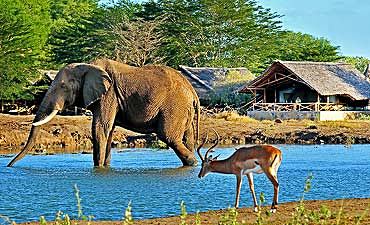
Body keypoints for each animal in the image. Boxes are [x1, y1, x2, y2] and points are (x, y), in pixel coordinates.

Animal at [6, 59, 199, 168]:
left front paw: (98, 169)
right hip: (184, 110)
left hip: (175, 107)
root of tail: (193, 92)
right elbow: (109, 130)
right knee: (187, 138)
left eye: (63, 87)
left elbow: (100, 128)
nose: (9, 166)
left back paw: (193, 163)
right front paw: (104, 167)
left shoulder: (109, 94)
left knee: (168, 136)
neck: (87, 66)